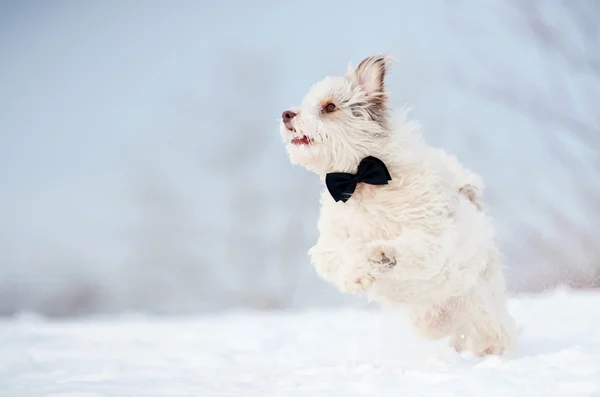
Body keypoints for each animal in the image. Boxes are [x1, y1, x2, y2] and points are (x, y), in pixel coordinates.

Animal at [278, 53, 516, 356]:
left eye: (329, 107)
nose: (286, 114)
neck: (362, 180)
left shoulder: (433, 236)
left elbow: (413, 247)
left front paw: (383, 255)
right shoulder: (330, 243)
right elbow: (340, 255)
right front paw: (357, 274)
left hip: (481, 304)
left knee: (494, 329)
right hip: (429, 318)